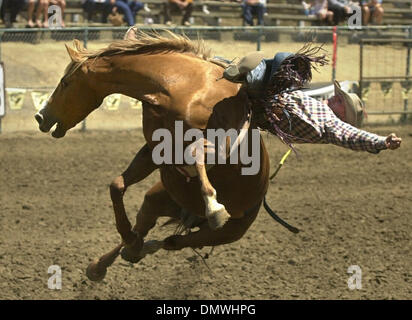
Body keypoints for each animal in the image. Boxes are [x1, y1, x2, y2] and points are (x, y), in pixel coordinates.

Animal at [34, 30, 270, 280]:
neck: (179, 86)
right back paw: (111, 258)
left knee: (172, 241)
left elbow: (195, 153)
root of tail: (191, 215)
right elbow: (116, 185)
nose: (40, 117)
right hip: (156, 198)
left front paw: (215, 207)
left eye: (65, 82)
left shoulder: (221, 146)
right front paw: (127, 236)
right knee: (148, 230)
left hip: (227, 232)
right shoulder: (154, 151)